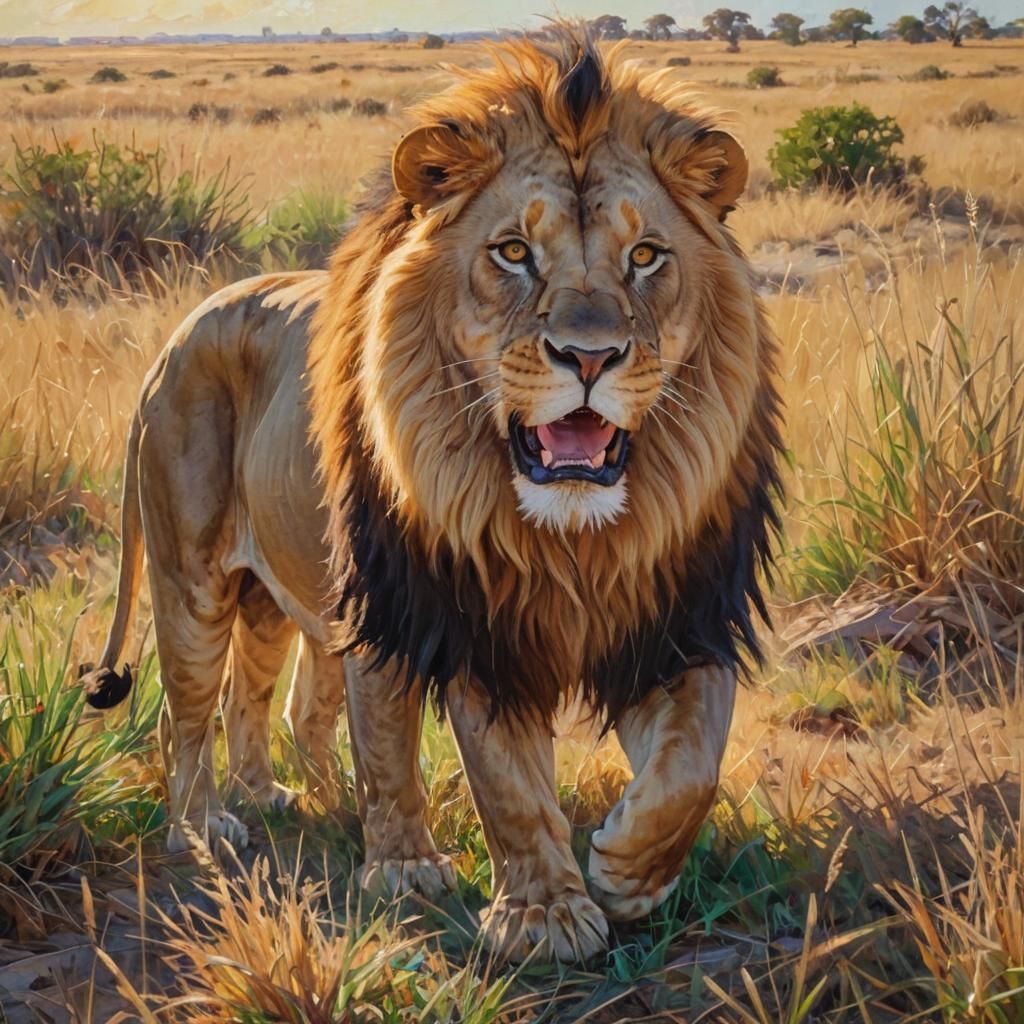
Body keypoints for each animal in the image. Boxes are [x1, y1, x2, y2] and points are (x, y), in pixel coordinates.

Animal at [82, 27, 782, 964]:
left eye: (645, 257)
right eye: (513, 252)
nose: (589, 357)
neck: (577, 541)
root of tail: (178, 334)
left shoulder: (681, 614)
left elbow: (692, 766)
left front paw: (628, 867)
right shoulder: (459, 616)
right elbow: (503, 780)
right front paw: (537, 913)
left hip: (280, 593)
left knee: (267, 698)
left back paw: (289, 796)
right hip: (198, 581)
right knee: (187, 715)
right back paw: (213, 829)